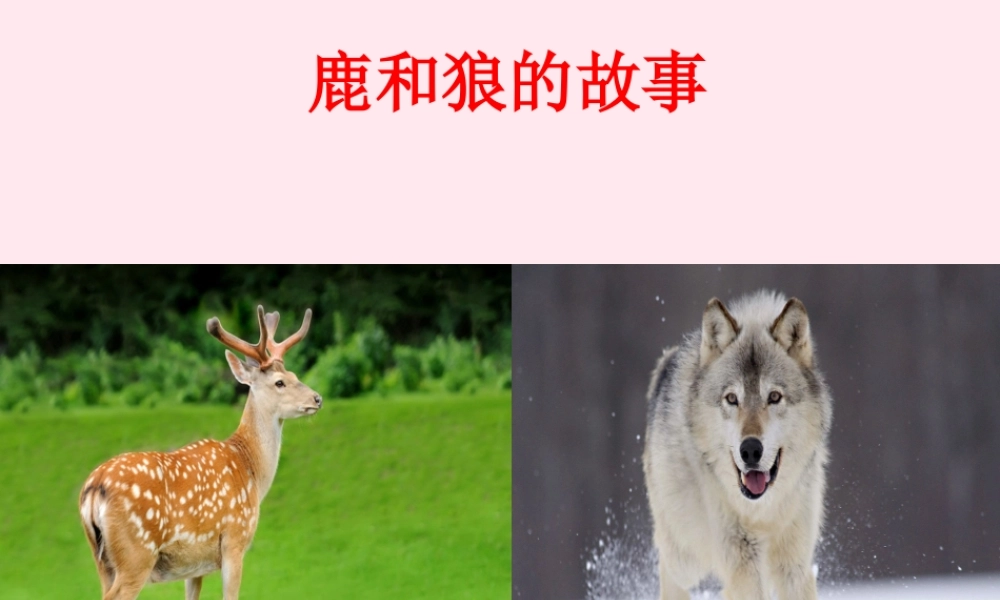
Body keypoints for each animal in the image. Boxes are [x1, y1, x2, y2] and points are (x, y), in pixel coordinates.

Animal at [78, 306, 323, 600]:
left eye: (296, 376)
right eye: (279, 383)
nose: (317, 398)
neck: (251, 470)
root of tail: (94, 489)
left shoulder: (194, 565)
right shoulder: (234, 538)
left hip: (102, 559)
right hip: (136, 554)